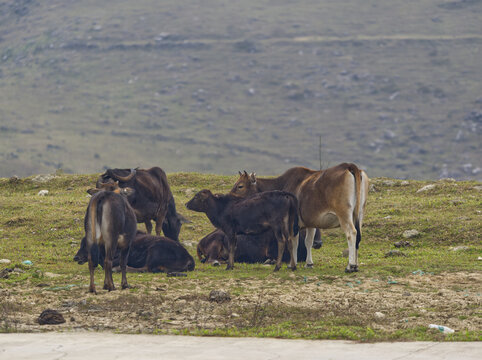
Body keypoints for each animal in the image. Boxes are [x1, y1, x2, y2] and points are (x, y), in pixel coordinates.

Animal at [230, 162, 370, 272]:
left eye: (240, 185)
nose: (229, 196)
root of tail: (349, 166)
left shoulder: (292, 222)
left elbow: (293, 241)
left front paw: (292, 264)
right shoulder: (311, 222)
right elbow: (308, 241)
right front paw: (309, 263)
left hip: (344, 214)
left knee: (351, 233)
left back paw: (350, 266)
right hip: (360, 213)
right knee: (358, 236)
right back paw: (356, 265)